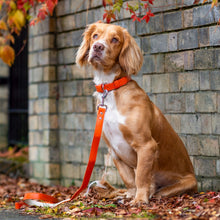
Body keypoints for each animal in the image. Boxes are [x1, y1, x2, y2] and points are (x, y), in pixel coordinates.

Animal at [76, 21, 198, 204]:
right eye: (95, 36)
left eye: (115, 39)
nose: (97, 47)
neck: (111, 88)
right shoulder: (115, 151)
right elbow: (128, 178)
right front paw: (131, 195)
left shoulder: (146, 145)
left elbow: (140, 175)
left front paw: (140, 199)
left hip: (185, 183)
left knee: (159, 190)